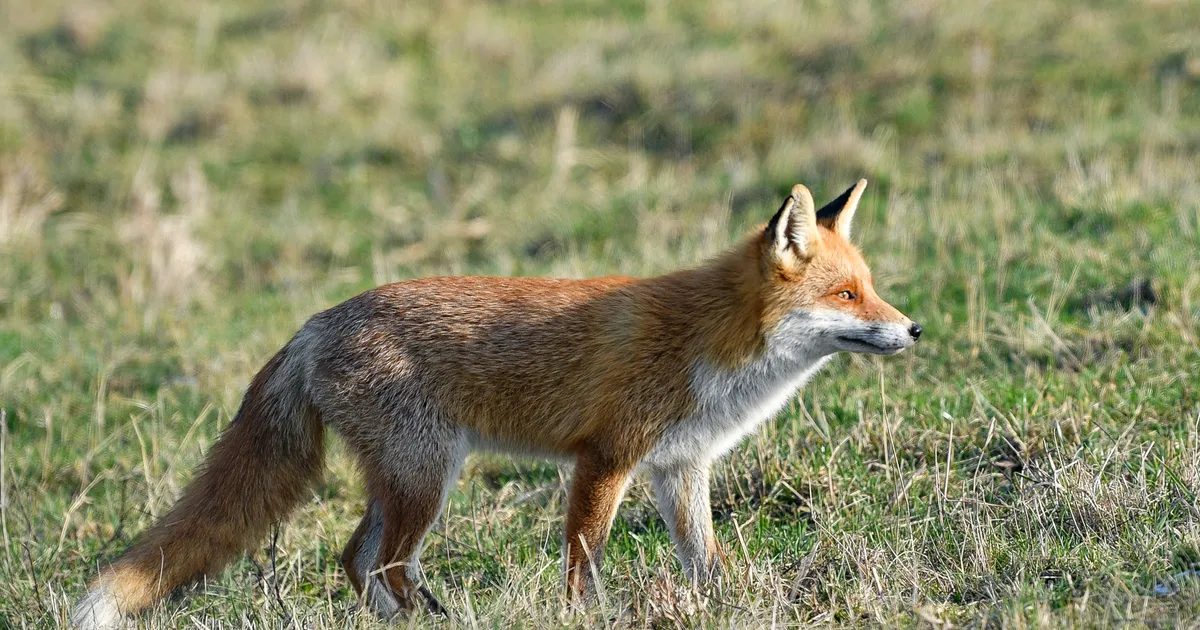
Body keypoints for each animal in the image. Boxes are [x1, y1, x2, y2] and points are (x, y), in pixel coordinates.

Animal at [73, 180, 921, 628]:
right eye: (847, 295)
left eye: (869, 286)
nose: (913, 328)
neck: (709, 343)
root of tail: (314, 324)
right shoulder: (606, 458)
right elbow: (584, 557)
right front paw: (585, 615)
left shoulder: (679, 468)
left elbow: (705, 561)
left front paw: (729, 607)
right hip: (427, 477)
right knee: (385, 562)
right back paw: (429, 619)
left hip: (405, 479)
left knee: (356, 558)